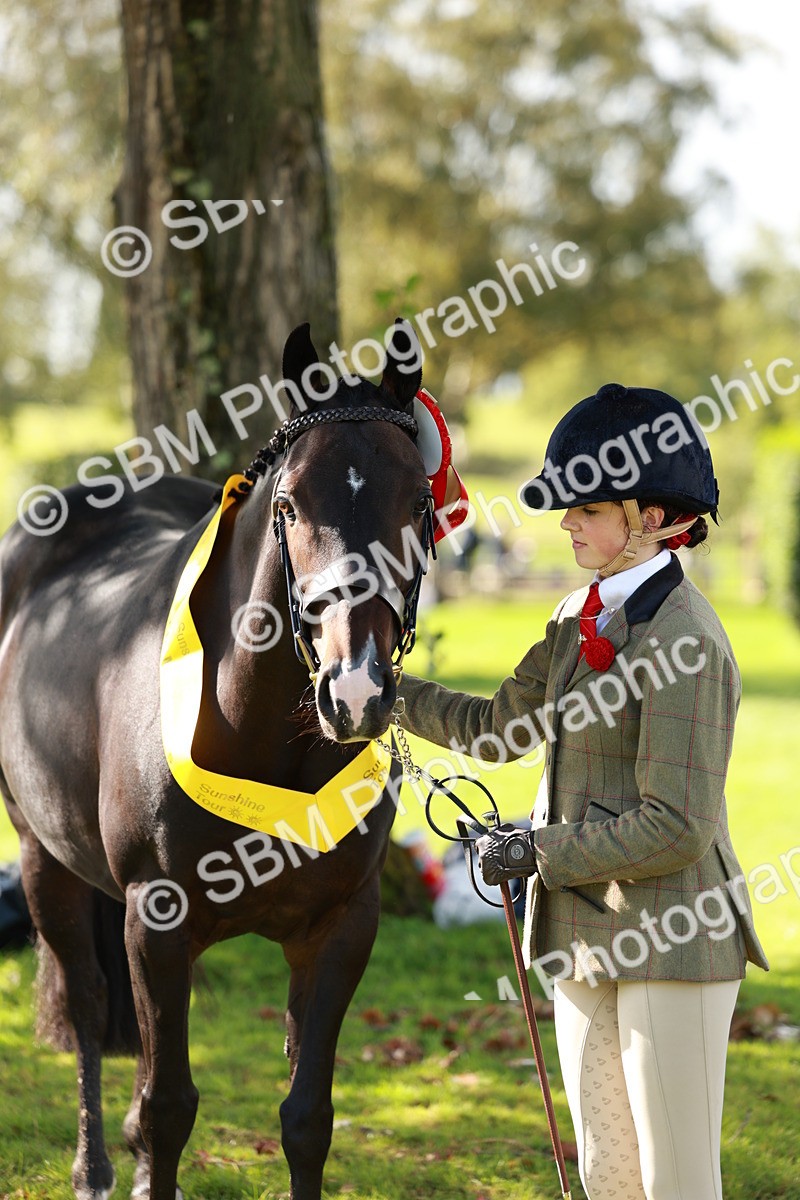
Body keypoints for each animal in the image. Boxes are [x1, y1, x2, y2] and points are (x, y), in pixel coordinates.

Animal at [0, 320, 435, 1200]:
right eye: (290, 503)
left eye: (418, 500)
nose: (357, 689)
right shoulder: (156, 922)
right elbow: (169, 1107)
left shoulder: (341, 927)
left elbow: (306, 1118)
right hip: (40, 857)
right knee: (89, 1002)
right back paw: (95, 1167)